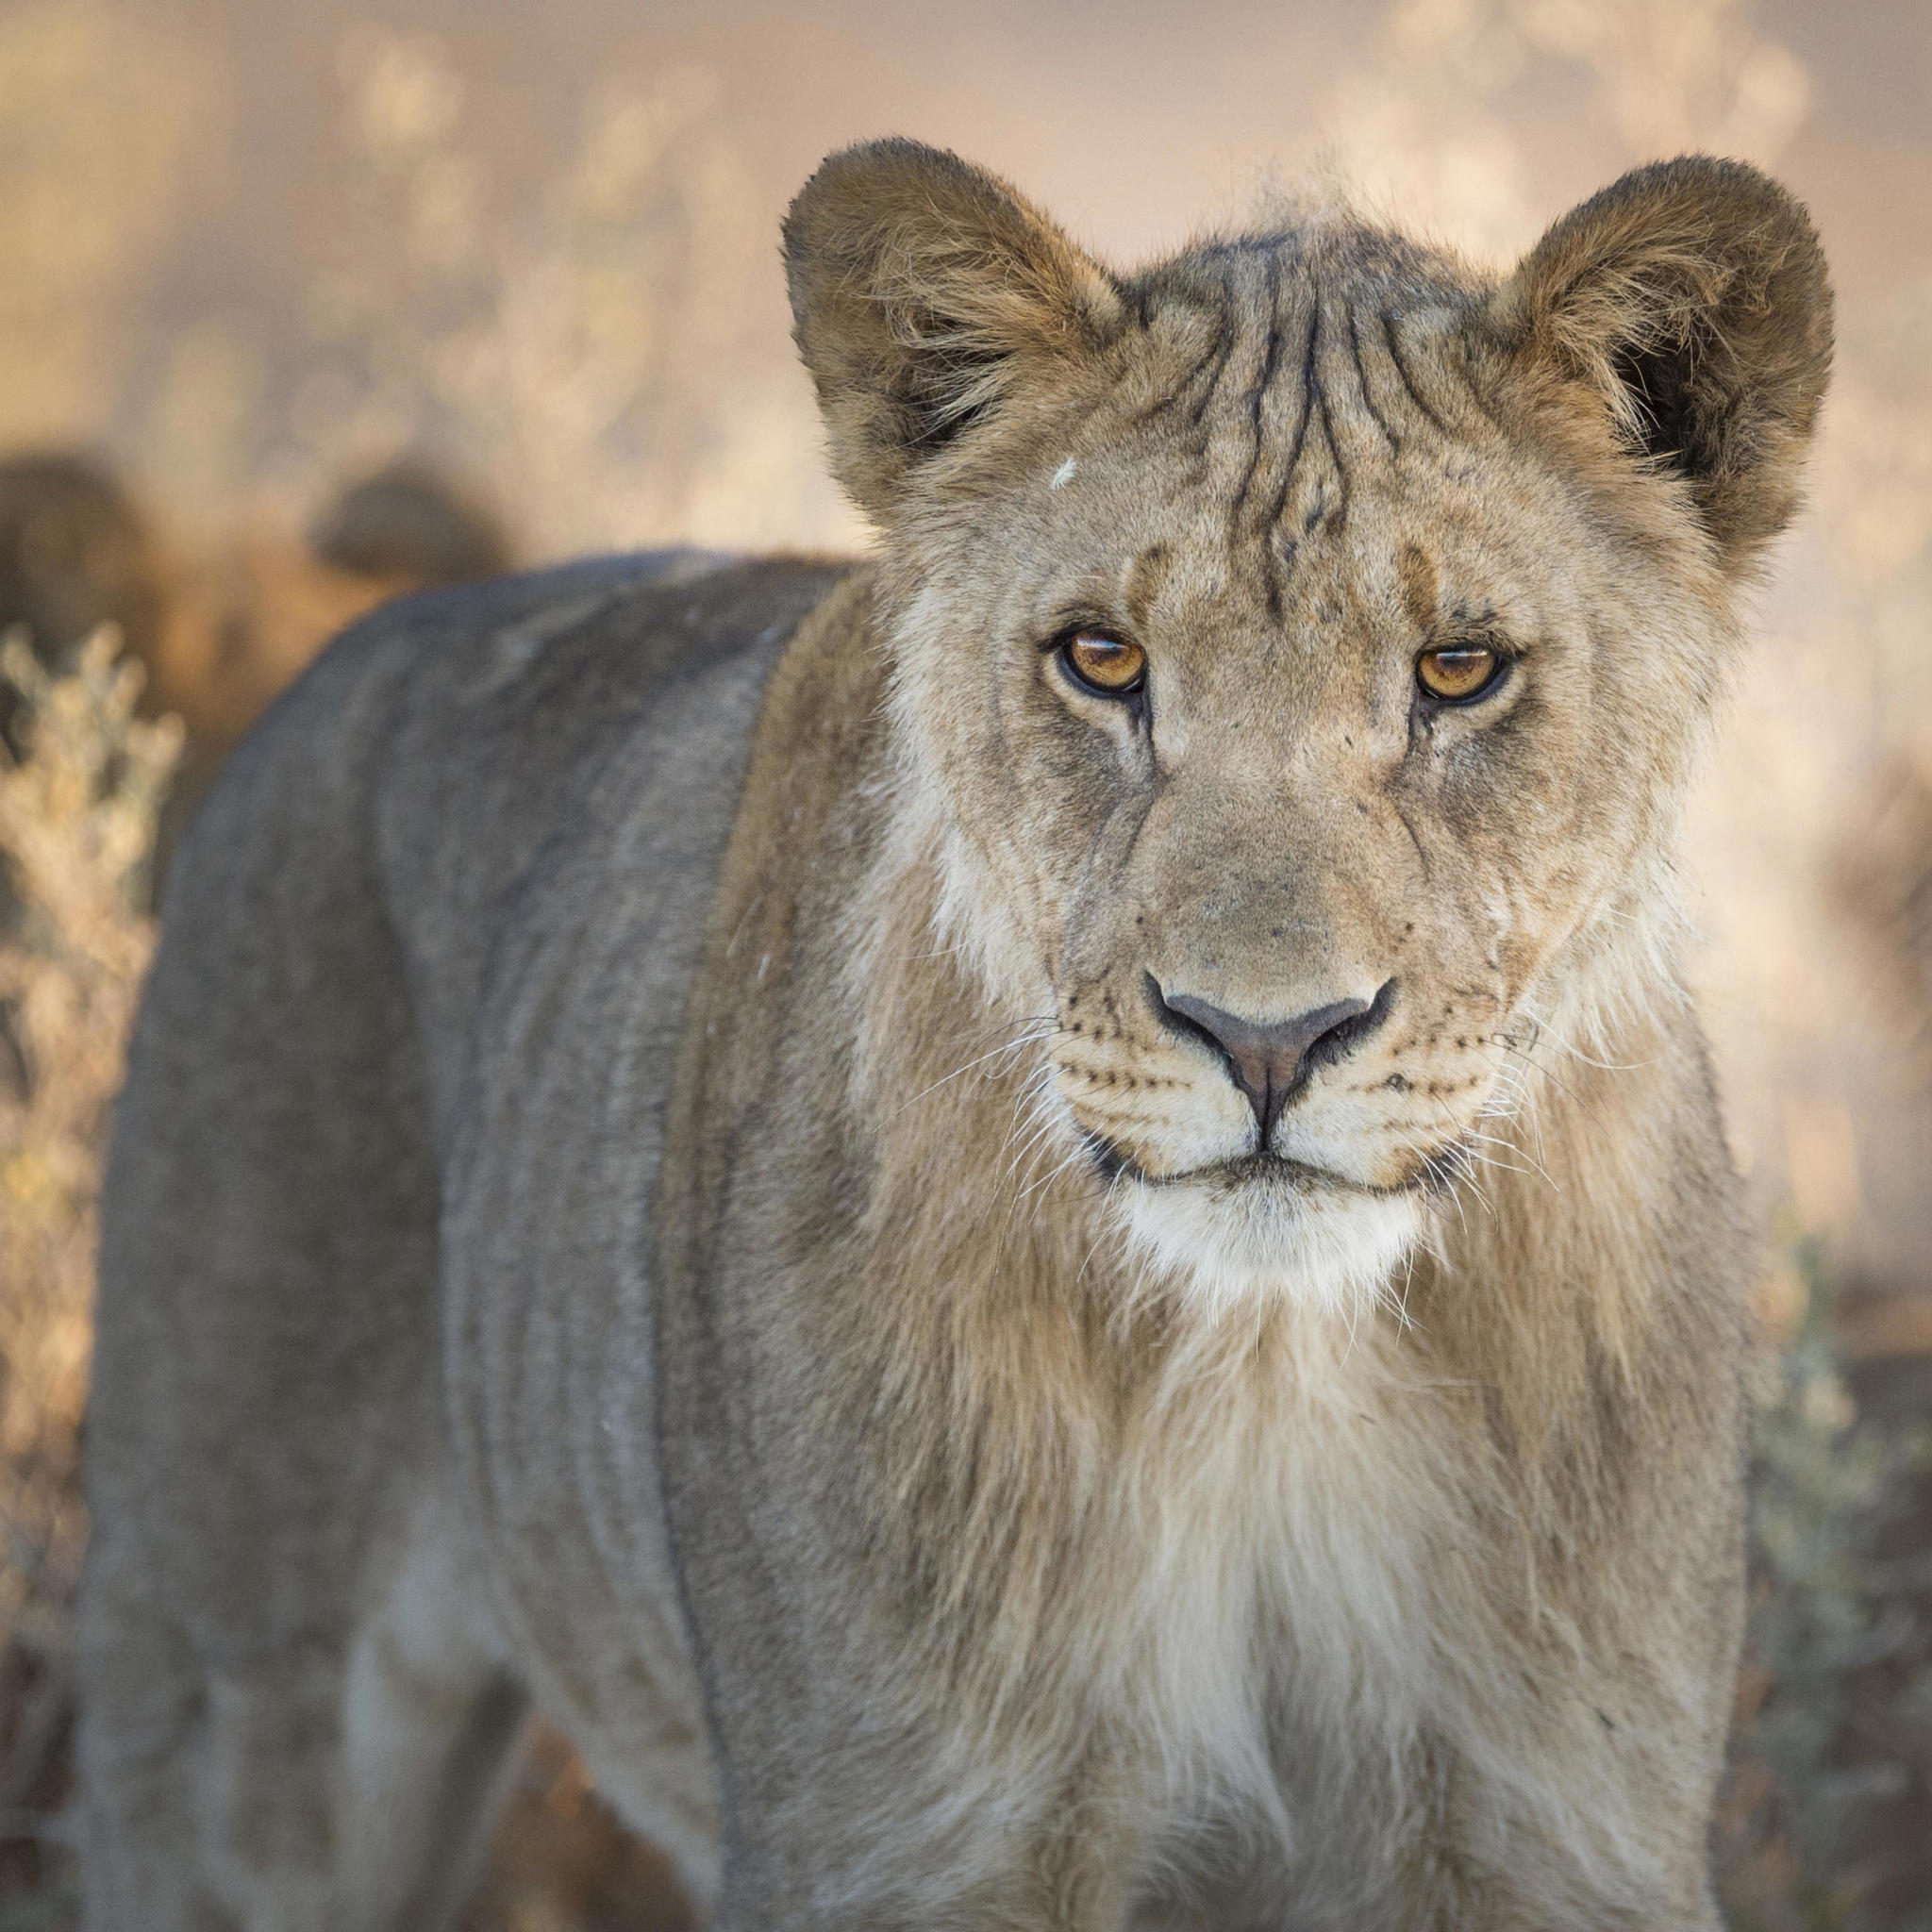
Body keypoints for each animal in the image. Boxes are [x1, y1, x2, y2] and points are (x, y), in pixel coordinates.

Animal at [77, 140, 1831, 1930]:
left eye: (1458, 669)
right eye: (1102, 658)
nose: (1267, 1039)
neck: (1276, 1372)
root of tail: (344, 654)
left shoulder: (1557, 1823)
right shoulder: (901, 1833)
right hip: (235, 1699)